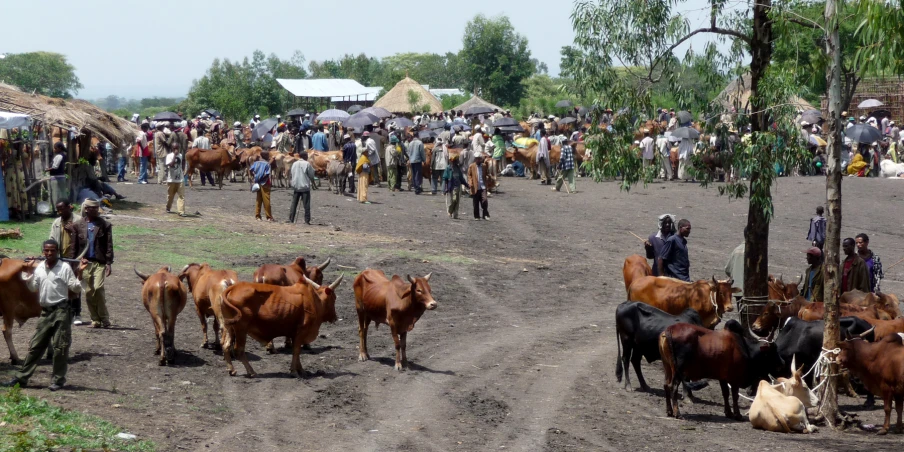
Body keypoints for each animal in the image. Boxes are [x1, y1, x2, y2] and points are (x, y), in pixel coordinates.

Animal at [656, 318, 784, 420]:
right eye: (773, 350)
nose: (782, 363)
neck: (744, 348)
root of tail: (669, 329)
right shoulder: (734, 378)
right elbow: (735, 396)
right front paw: (737, 415)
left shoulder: (723, 377)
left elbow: (725, 394)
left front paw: (728, 413)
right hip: (678, 370)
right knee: (673, 387)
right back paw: (677, 413)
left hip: (667, 367)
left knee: (666, 385)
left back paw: (669, 411)